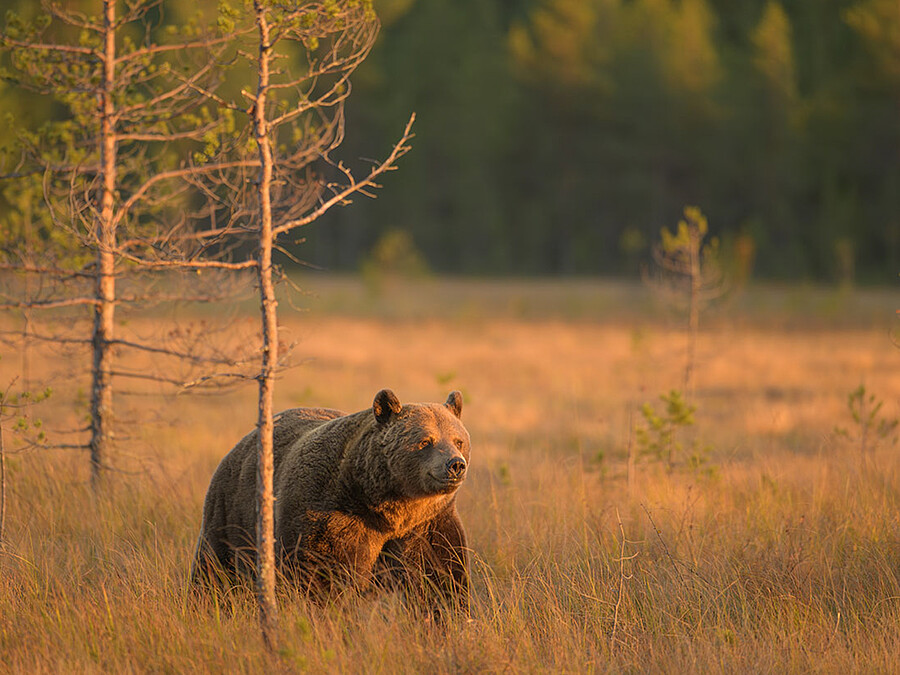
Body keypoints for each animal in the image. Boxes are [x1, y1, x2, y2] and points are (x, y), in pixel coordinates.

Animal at [191, 389, 471, 611]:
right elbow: (324, 577)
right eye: (425, 441)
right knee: (214, 569)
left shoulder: (427, 525)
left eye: (458, 440)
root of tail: (241, 443)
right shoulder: (333, 517)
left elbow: (440, 576)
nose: (455, 464)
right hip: (231, 514)